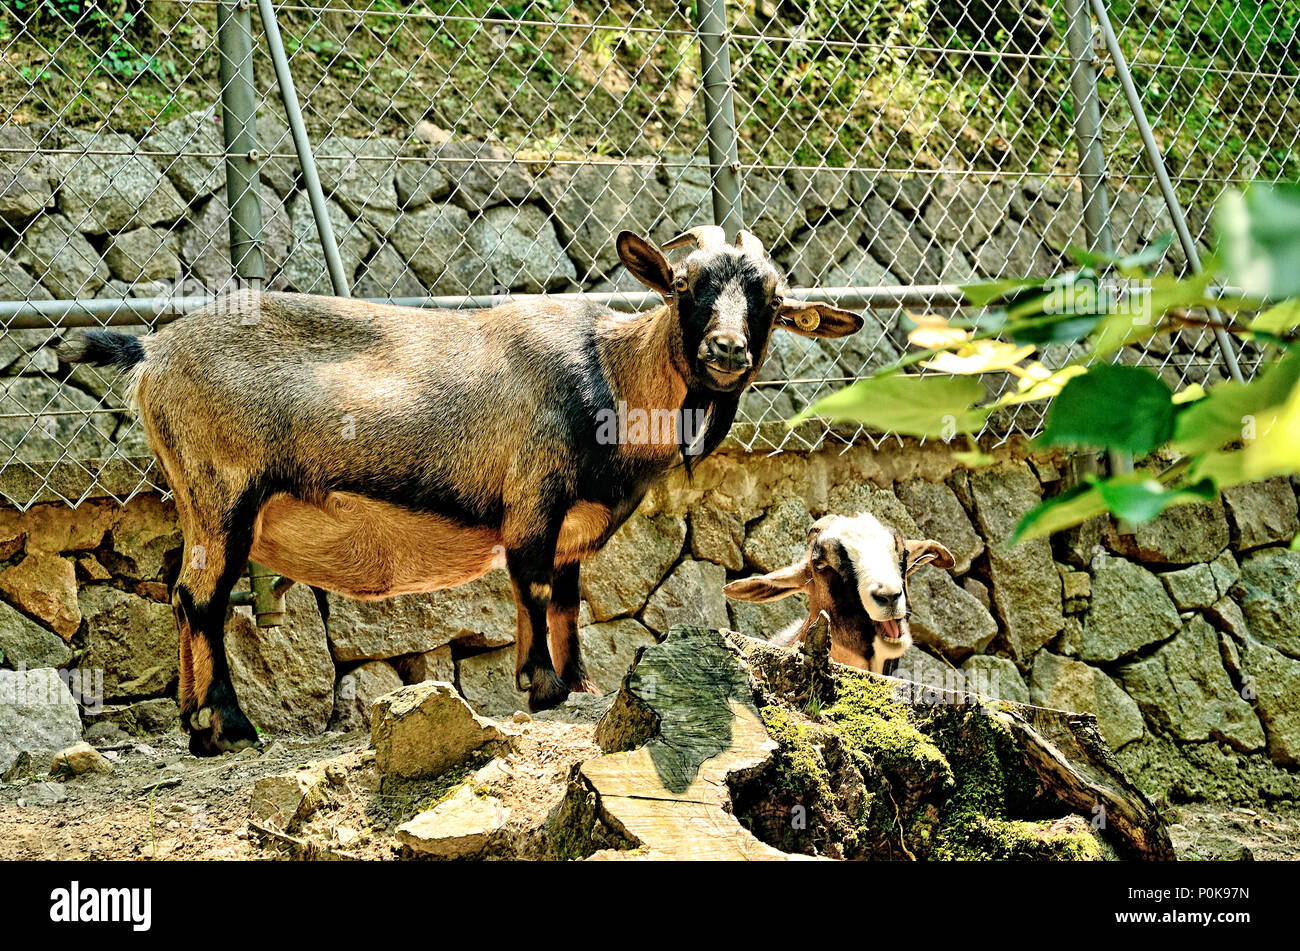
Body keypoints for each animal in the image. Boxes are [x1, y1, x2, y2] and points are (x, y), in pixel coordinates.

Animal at [58, 226, 863, 753]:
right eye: (684, 285)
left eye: (770, 300)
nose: (726, 351)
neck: (610, 374)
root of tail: (151, 349)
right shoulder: (533, 498)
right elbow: (532, 588)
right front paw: (539, 685)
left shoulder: (572, 528)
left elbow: (568, 601)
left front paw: (578, 684)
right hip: (223, 494)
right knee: (203, 597)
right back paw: (226, 727)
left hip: (200, 503)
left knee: (184, 597)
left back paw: (196, 725)